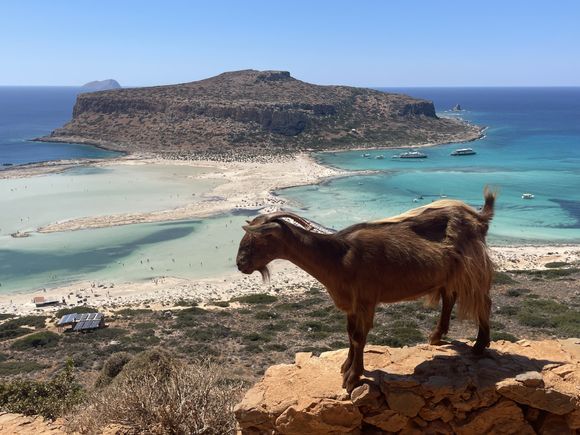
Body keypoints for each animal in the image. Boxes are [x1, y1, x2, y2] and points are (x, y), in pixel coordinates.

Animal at [234, 189, 494, 394]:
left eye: (257, 239)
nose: (240, 264)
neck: (337, 256)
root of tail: (480, 219)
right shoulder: (351, 303)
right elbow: (350, 334)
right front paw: (346, 367)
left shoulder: (366, 299)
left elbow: (360, 336)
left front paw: (353, 378)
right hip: (449, 275)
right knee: (450, 298)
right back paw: (437, 336)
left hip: (472, 269)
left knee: (484, 302)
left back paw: (479, 346)